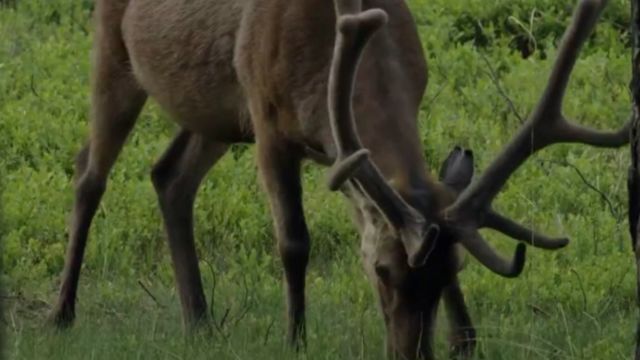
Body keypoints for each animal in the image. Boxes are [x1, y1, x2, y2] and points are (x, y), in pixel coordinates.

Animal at [48, 0, 624, 358]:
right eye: (383, 271)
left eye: (448, 275)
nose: (411, 354)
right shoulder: (267, 119)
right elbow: (294, 242)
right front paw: (295, 340)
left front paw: (466, 342)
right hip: (113, 52)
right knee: (88, 174)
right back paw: (62, 314)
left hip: (216, 112)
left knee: (168, 175)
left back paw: (200, 320)